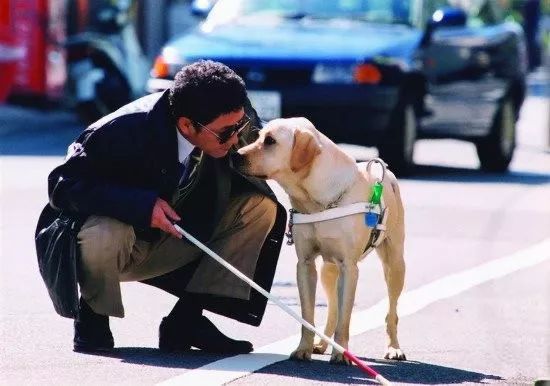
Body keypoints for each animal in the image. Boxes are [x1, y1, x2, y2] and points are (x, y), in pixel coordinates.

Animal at [235, 117, 408, 362]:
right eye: (258, 136)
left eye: (270, 141)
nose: (235, 155)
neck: (317, 201)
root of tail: (387, 174)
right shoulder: (305, 264)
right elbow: (308, 316)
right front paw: (303, 349)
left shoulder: (349, 267)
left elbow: (345, 319)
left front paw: (341, 354)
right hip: (328, 270)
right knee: (333, 310)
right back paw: (321, 343)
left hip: (394, 265)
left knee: (390, 311)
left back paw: (393, 348)